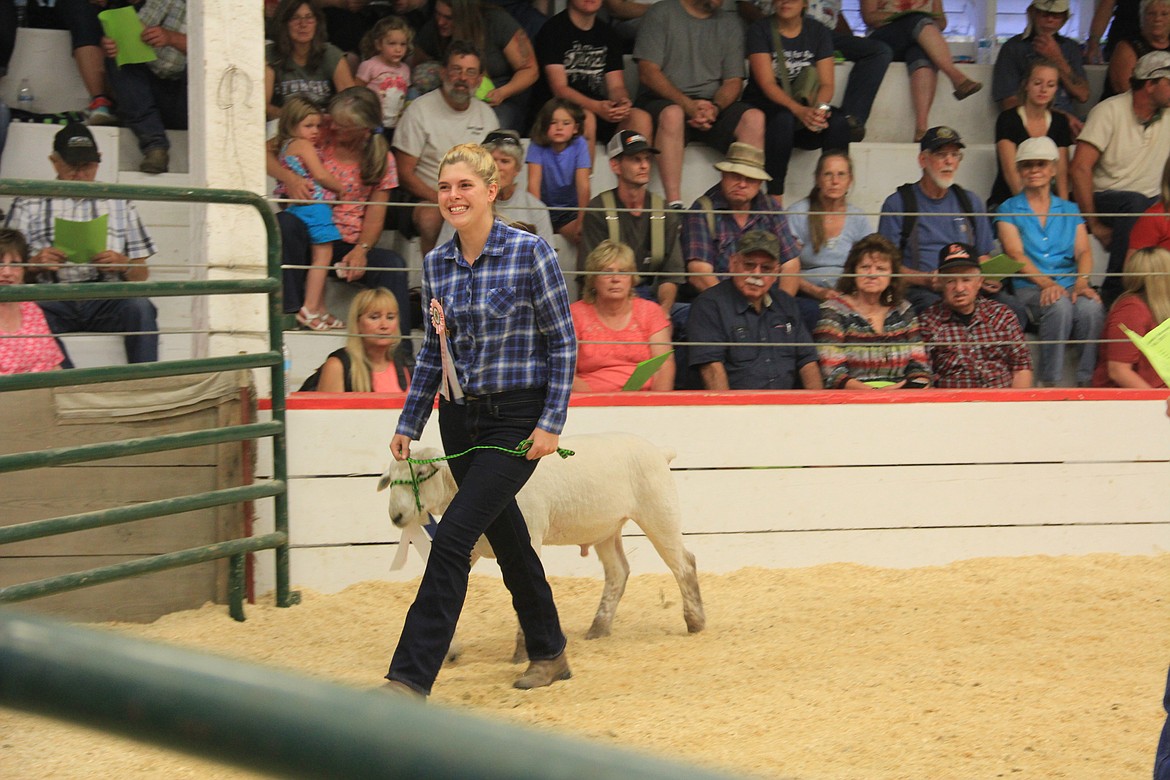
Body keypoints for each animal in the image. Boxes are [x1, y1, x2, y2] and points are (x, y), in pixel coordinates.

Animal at [376, 430, 702, 650]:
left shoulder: (529, 535)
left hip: (658, 510)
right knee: (618, 572)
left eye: (422, 472)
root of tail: (660, 451)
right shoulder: (474, 545)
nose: (396, 516)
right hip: (606, 528)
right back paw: (599, 627)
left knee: (684, 563)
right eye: (390, 479)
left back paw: (695, 621)